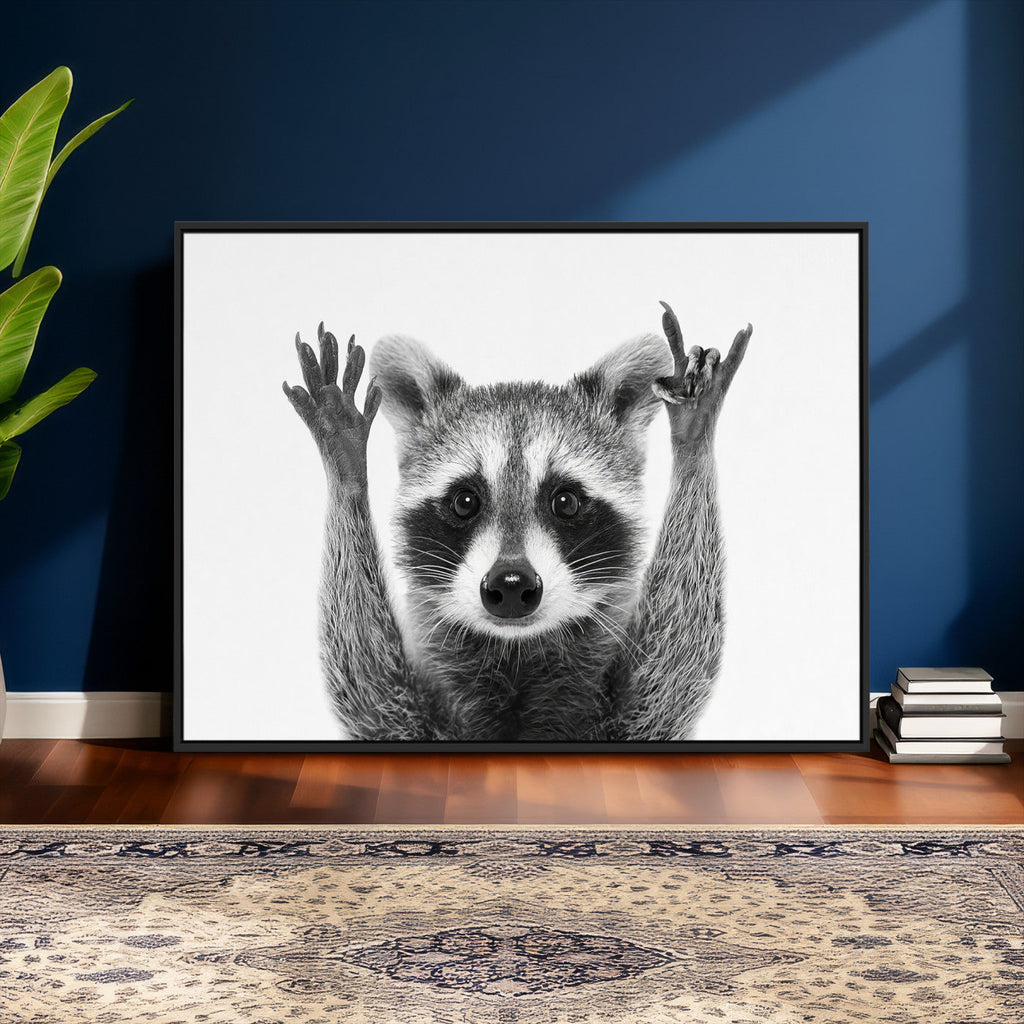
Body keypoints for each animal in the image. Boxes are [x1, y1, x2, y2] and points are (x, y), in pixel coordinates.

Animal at [283, 303, 751, 742]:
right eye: (465, 502)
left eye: (565, 502)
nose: (510, 585)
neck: (516, 655)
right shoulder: (406, 717)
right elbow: (366, 686)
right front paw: (346, 465)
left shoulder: (634, 717)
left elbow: (675, 664)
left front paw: (693, 439)